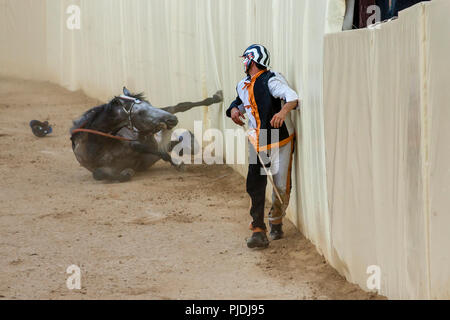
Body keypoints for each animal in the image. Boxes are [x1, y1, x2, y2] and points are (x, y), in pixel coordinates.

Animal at [71, 87, 223, 182]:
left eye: (149, 104)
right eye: (140, 112)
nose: (172, 120)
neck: (98, 145)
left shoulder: (136, 142)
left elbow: (147, 148)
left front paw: (178, 164)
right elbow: (98, 174)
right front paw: (127, 172)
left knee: (180, 106)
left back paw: (216, 97)